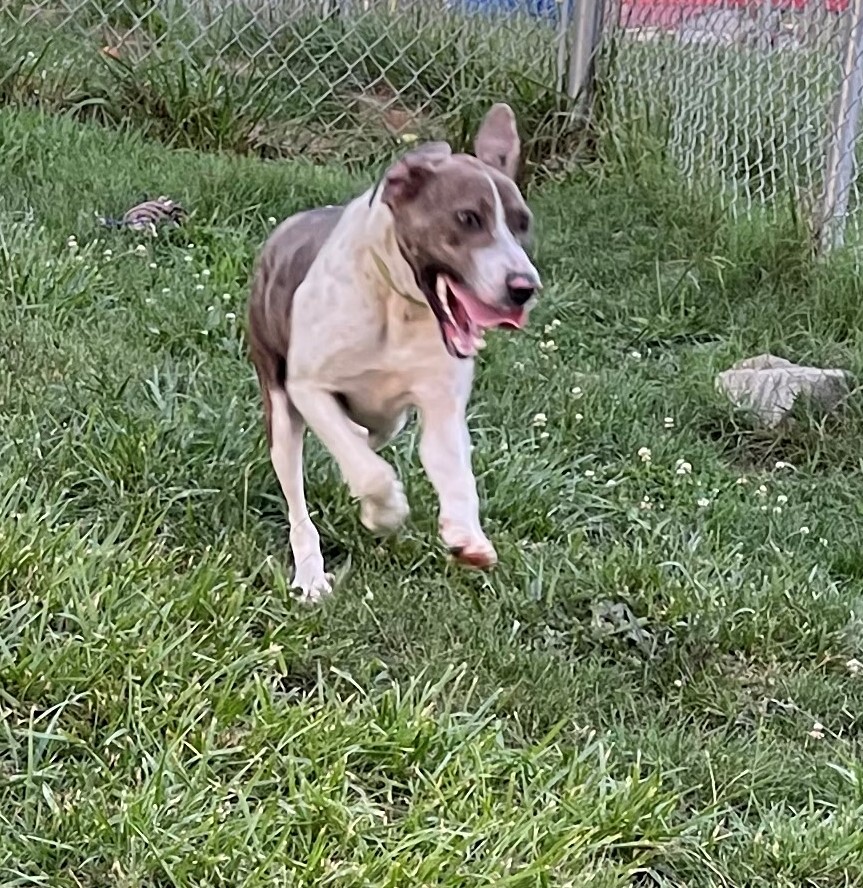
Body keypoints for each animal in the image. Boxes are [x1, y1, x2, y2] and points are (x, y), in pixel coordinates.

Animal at [246, 104, 540, 604]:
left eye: (522, 222)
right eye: (468, 218)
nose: (524, 287)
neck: (397, 306)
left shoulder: (442, 408)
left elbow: (455, 474)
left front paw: (467, 536)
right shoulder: (308, 387)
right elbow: (370, 472)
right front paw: (383, 511)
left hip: (389, 416)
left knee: (374, 433)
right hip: (280, 407)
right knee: (301, 496)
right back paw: (311, 575)